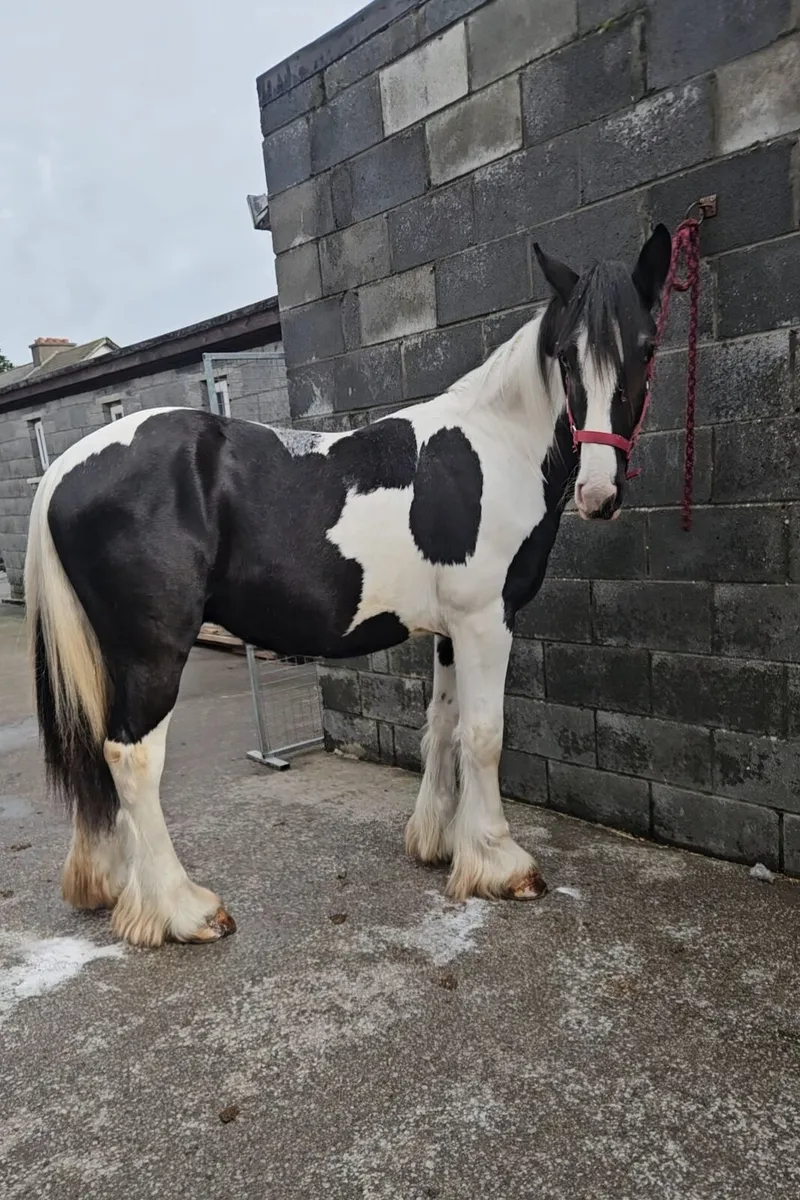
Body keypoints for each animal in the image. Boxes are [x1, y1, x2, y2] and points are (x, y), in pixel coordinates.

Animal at [24, 224, 672, 948]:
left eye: (646, 346)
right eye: (565, 355)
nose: (599, 492)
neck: (496, 447)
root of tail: (65, 469)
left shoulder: (451, 629)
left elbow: (442, 725)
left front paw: (439, 843)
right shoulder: (486, 620)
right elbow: (483, 734)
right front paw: (502, 865)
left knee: (96, 751)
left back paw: (108, 884)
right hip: (152, 652)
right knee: (131, 758)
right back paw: (183, 910)